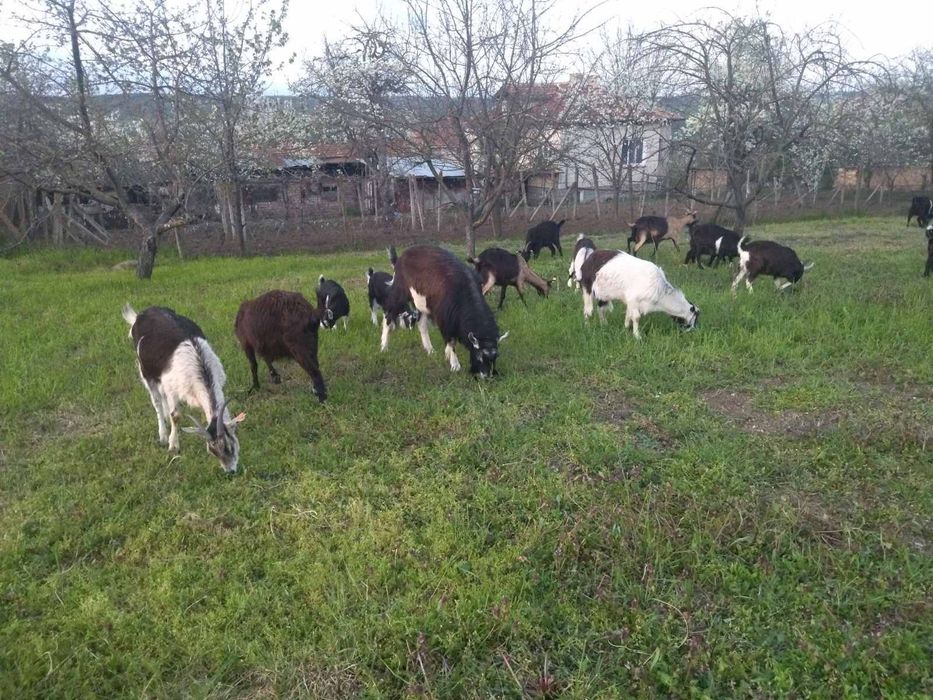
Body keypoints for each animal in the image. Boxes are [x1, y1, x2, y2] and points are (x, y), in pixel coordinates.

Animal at [122, 304, 245, 472]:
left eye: (229, 445)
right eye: (211, 450)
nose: (230, 471)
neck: (199, 363)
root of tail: (140, 315)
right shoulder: (172, 389)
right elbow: (176, 415)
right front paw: (173, 446)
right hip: (146, 372)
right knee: (157, 401)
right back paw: (163, 434)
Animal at [382, 245, 506, 377]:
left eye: (496, 357)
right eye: (480, 356)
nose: (486, 376)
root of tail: (401, 257)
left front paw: (447, 355)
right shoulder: (445, 319)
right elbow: (451, 341)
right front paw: (455, 365)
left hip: (421, 304)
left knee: (422, 325)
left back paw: (430, 350)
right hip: (399, 294)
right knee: (388, 316)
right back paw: (384, 347)